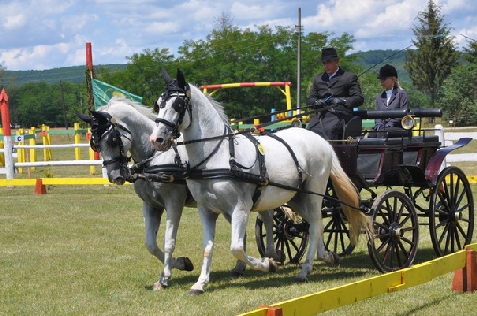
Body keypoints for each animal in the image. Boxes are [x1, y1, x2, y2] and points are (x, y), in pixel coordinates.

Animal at [151, 68, 370, 294]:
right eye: (158, 104)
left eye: (178, 105)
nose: (157, 139)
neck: (217, 155)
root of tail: (321, 140)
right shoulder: (206, 210)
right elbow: (208, 247)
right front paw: (200, 283)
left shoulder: (240, 207)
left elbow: (237, 247)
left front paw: (268, 264)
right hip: (295, 197)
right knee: (313, 224)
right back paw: (326, 256)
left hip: (314, 193)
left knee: (317, 225)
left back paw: (306, 269)